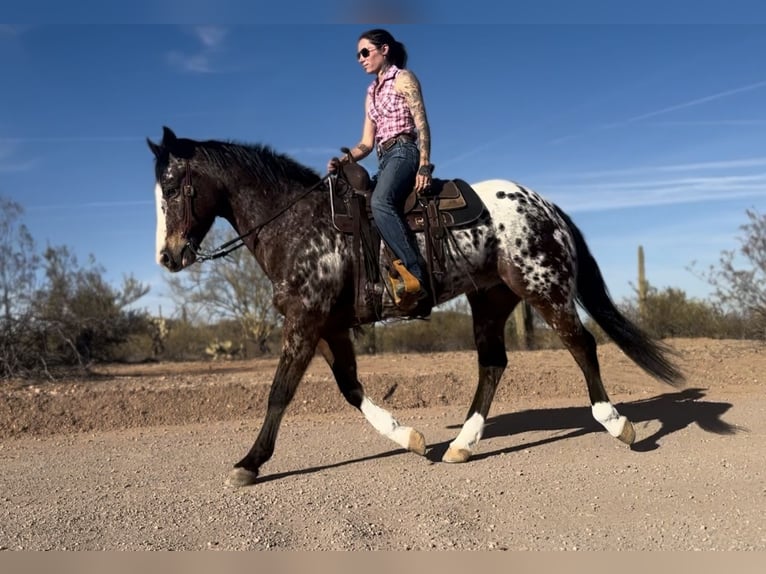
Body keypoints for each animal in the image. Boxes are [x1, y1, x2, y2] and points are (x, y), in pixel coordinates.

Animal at [147, 125, 688, 486]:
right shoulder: (329, 326)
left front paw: (250, 462)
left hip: (544, 287)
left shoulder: (305, 319)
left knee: (581, 344)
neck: (298, 222)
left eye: (172, 188)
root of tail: (545, 205)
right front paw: (408, 436)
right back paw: (462, 445)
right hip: (491, 301)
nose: (168, 257)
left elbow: (280, 392)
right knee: (493, 364)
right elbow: (350, 388)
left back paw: (616, 423)